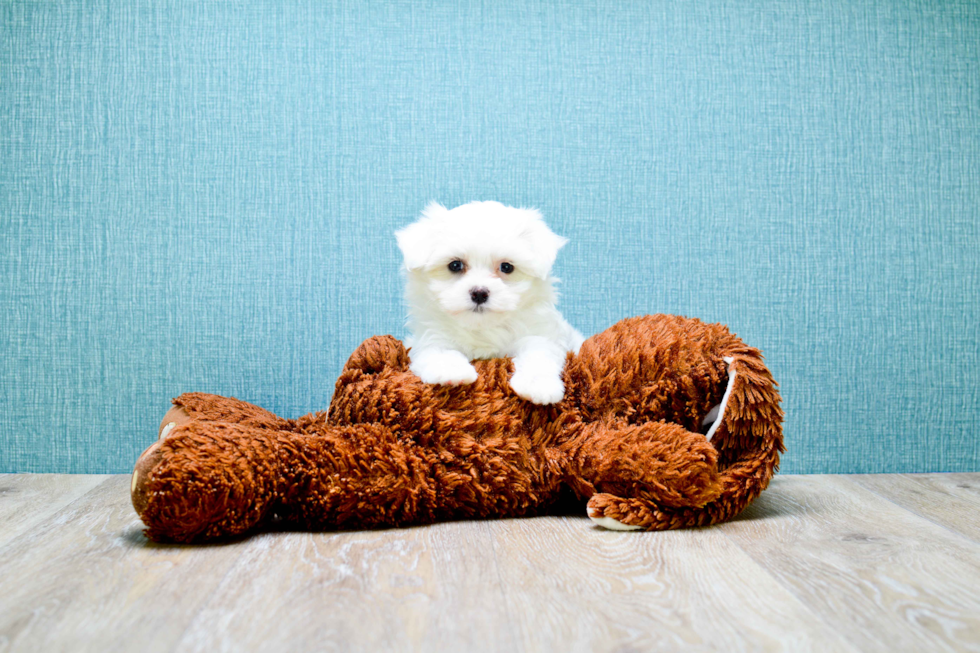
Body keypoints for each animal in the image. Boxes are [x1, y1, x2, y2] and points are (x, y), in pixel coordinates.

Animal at [396, 200, 580, 402]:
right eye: (455, 265)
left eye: (506, 267)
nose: (479, 293)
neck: (482, 328)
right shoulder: (430, 334)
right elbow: (438, 349)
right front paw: (451, 370)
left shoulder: (539, 332)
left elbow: (539, 352)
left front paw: (538, 384)